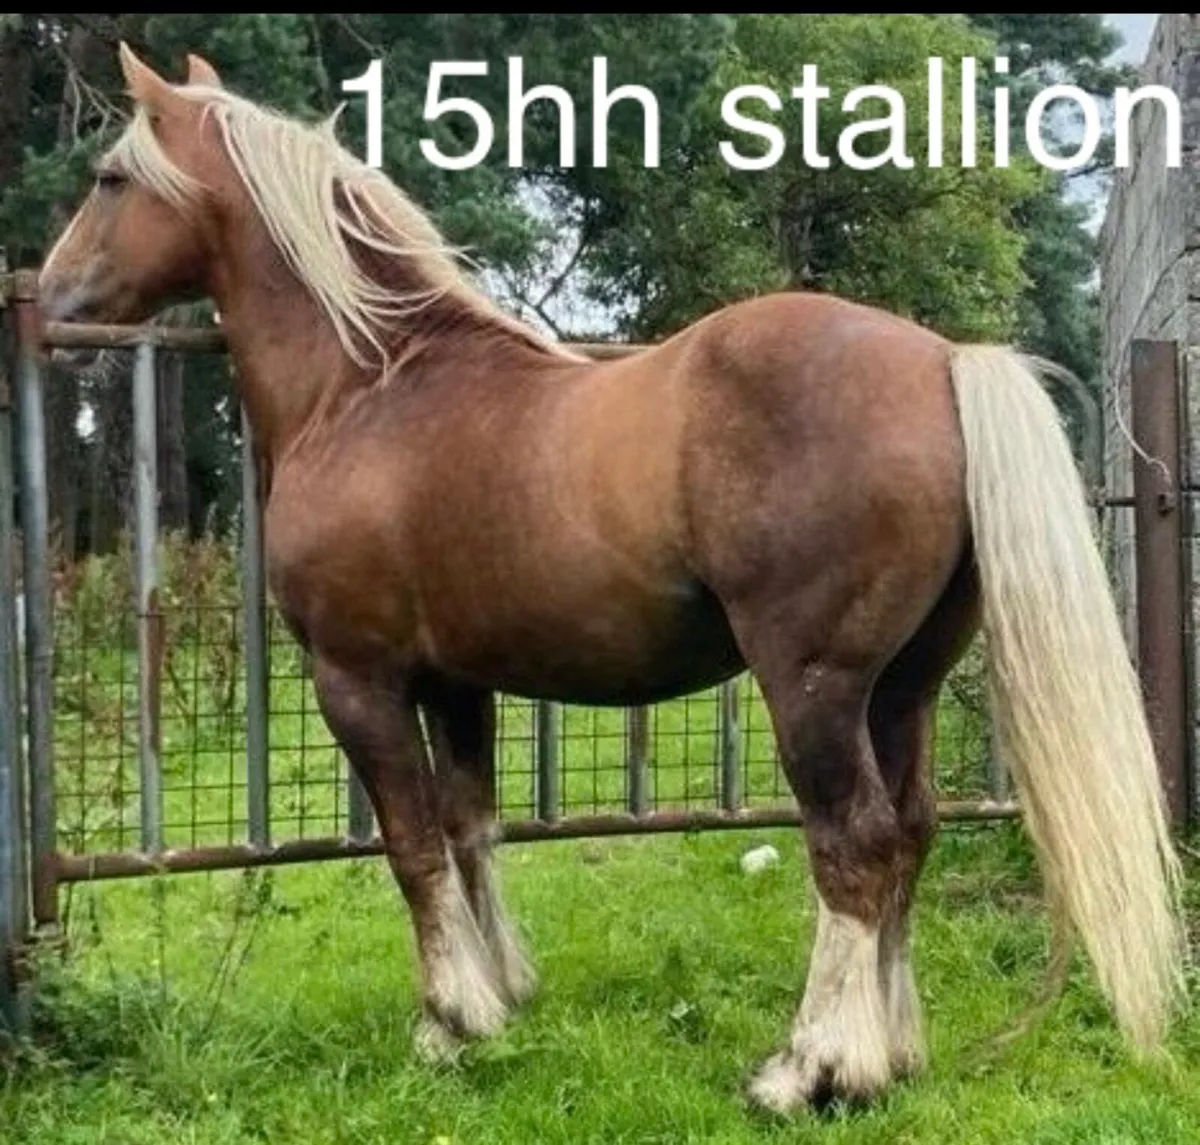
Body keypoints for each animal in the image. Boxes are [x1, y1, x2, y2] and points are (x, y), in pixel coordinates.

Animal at [36, 43, 1185, 1116]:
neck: (371, 384)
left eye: (109, 177)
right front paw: (503, 996)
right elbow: (471, 827)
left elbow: (411, 843)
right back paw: (889, 1056)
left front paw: (446, 1018)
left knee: (852, 845)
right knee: (909, 832)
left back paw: (810, 1066)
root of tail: (942, 360)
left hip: (812, 685)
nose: (49, 292)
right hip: (901, 685)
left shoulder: (355, 677)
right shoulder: (457, 680)